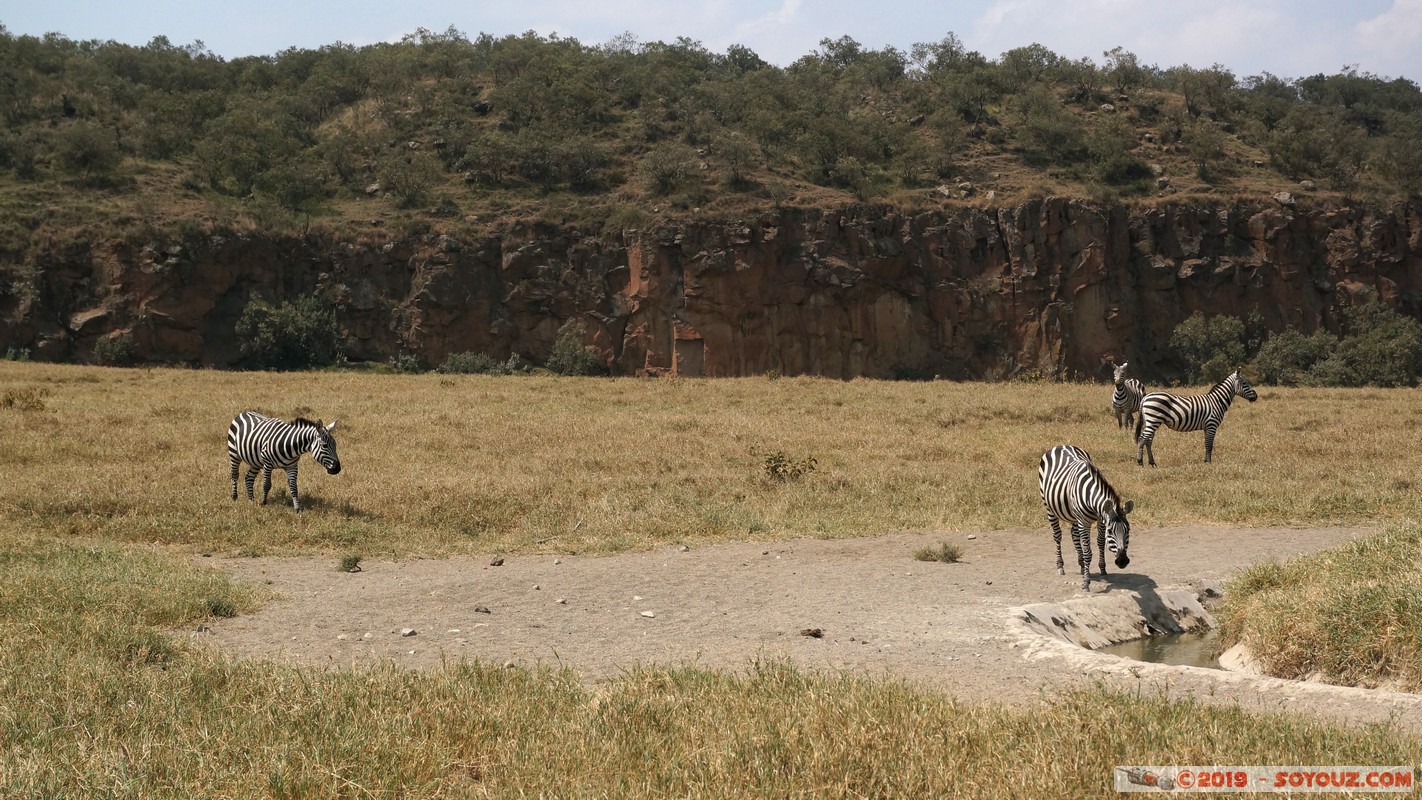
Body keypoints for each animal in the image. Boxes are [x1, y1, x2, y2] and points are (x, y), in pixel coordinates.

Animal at [1035, 449, 1131, 591]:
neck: (1090, 494)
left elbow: (1100, 543)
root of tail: (1061, 446)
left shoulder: (1101, 520)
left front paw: (1103, 571)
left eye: (1128, 531)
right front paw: (1086, 582)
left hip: (1074, 515)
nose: (1122, 561)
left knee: (1074, 534)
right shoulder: (1084, 522)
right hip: (1049, 508)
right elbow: (1088, 552)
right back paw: (1060, 566)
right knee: (1057, 535)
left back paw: (1081, 565)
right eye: (1110, 532)